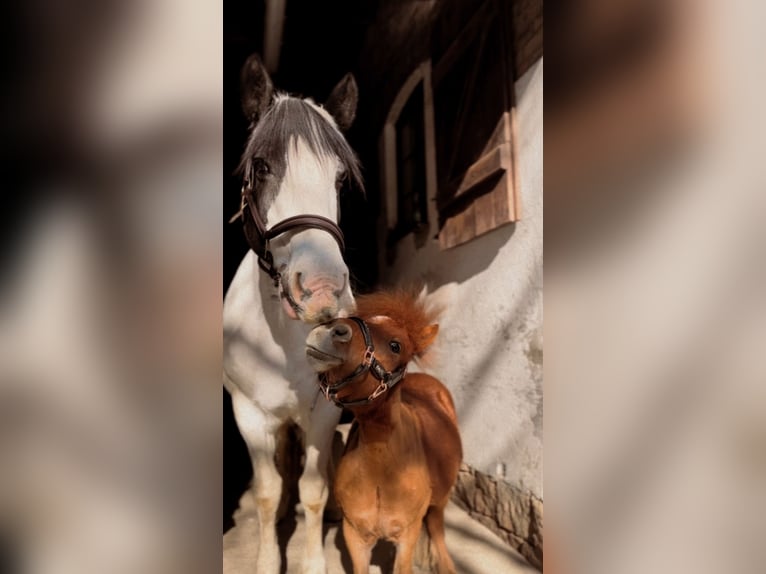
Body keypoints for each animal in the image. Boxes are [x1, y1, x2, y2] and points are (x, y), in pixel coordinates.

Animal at [306, 290, 462, 572]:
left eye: (395, 345)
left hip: (440, 502)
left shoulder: (407, 537)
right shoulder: (355, 536)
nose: (330, 330)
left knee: (437, 530)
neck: (382, 474)